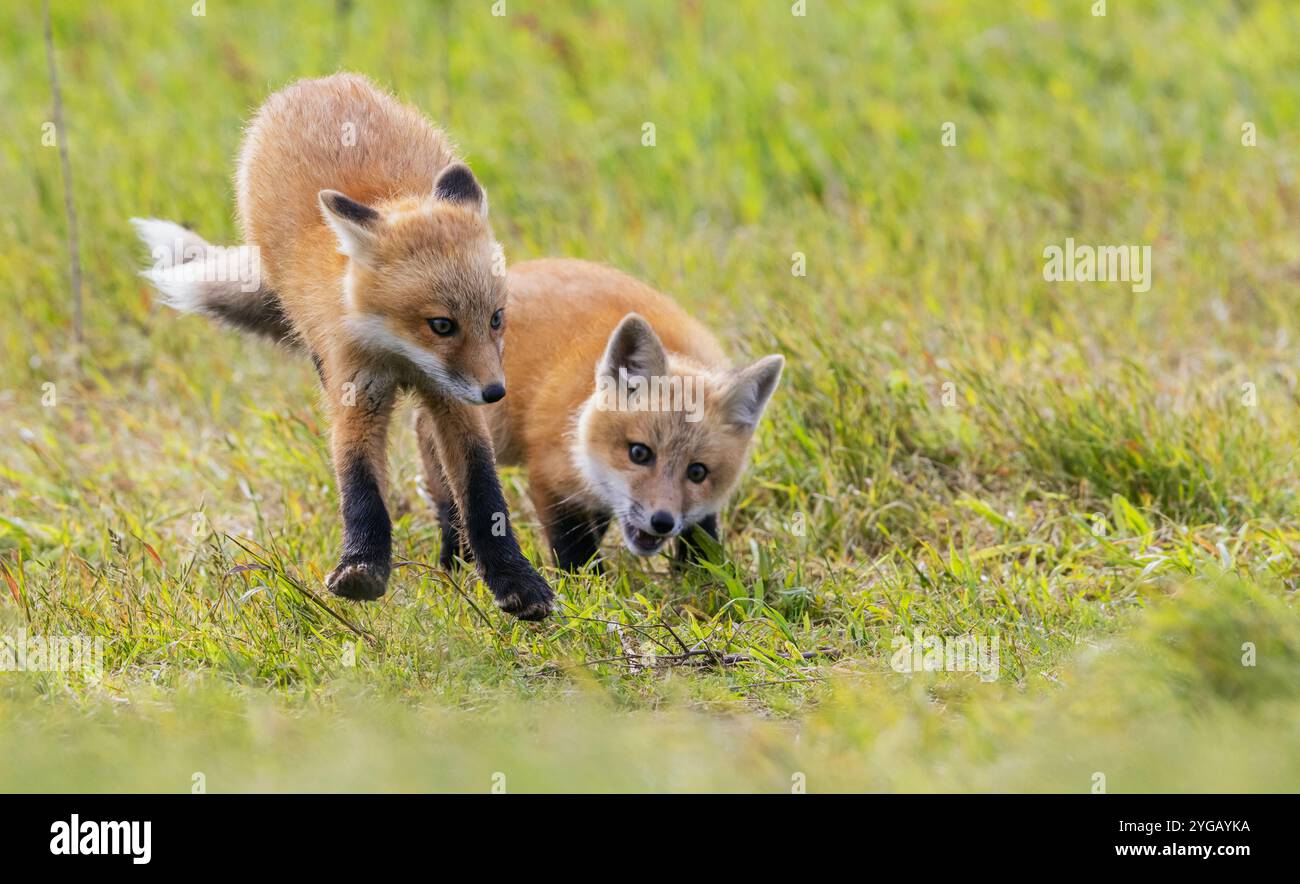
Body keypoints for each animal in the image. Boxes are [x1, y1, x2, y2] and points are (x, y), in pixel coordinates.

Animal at [132, 73, 554, 620]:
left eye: (496, 318)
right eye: (441, 324)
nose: (495, 393)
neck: (400, 357)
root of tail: (316, 83)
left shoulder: (453, 398)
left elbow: (483, 493)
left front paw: (514, 580)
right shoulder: (353, 386)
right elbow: (359, 484)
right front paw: (362, 566)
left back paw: (453, 555)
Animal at [416, 259, 784, 572]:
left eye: (697, 472)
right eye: (639, 453)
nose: (662, 521)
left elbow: (701, 531)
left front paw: (699, 575)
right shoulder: (550, 475)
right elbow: (574, 548)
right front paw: (586, 589)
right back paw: (456, 558)